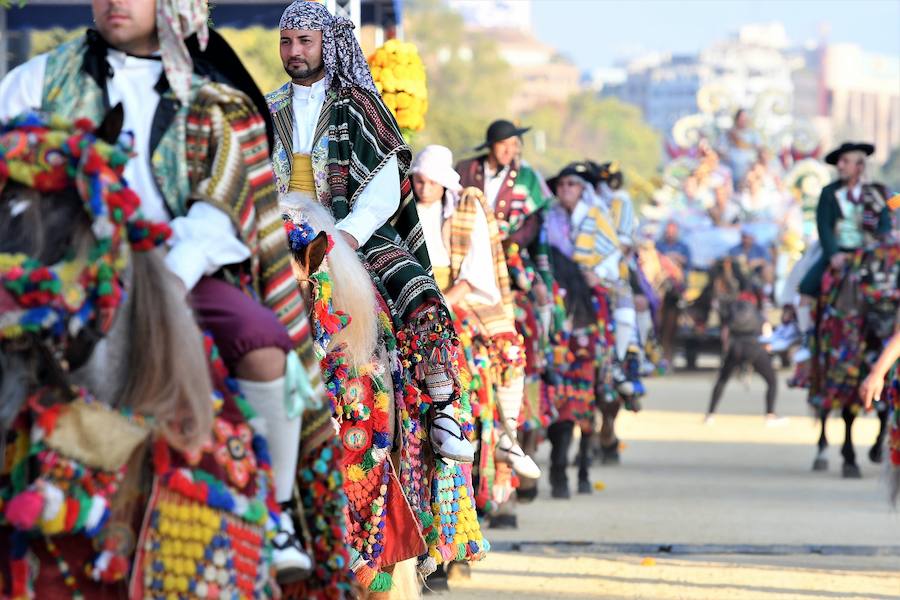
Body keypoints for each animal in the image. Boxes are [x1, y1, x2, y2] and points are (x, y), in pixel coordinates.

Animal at [804, 243, 896, 478]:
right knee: (824, 404)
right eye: (868, 274)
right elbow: (848, 411)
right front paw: (850, 460)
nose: (886, 323)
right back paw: (821, 454)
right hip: (823, 361)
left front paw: (876, 451)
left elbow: (882, 405)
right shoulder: (845, 361)